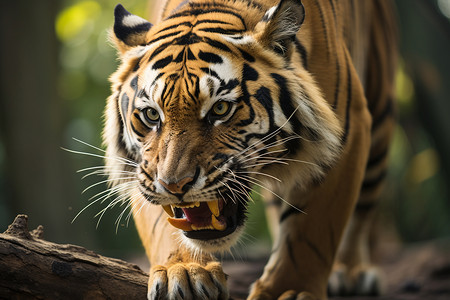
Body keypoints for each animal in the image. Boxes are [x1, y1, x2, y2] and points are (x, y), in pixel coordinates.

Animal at [103, 0, 398, 298]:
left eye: (220, 109)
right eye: (152, 115)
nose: (175, 186)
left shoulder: (345, 130)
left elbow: (311, 232)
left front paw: (289, 290)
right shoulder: (142, 168)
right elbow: (163, 223)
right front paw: (185, 271)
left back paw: (350, 273)